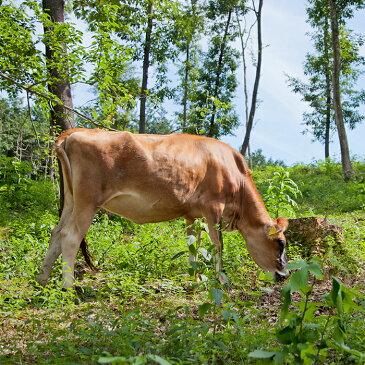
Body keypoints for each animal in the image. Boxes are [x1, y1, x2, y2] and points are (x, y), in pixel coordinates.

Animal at [35, 128, 288, 288]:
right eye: (280, 243)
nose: (284, 275)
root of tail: (75, 132)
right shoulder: (213, 208)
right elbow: (217, 246)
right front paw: (223, 280)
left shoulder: (192, 214)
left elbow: (194, 247)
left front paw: (195, 279)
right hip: (88, 200)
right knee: (70, 236)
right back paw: (69, 287)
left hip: (71, 199)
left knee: (56, 233)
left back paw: (42, 279)